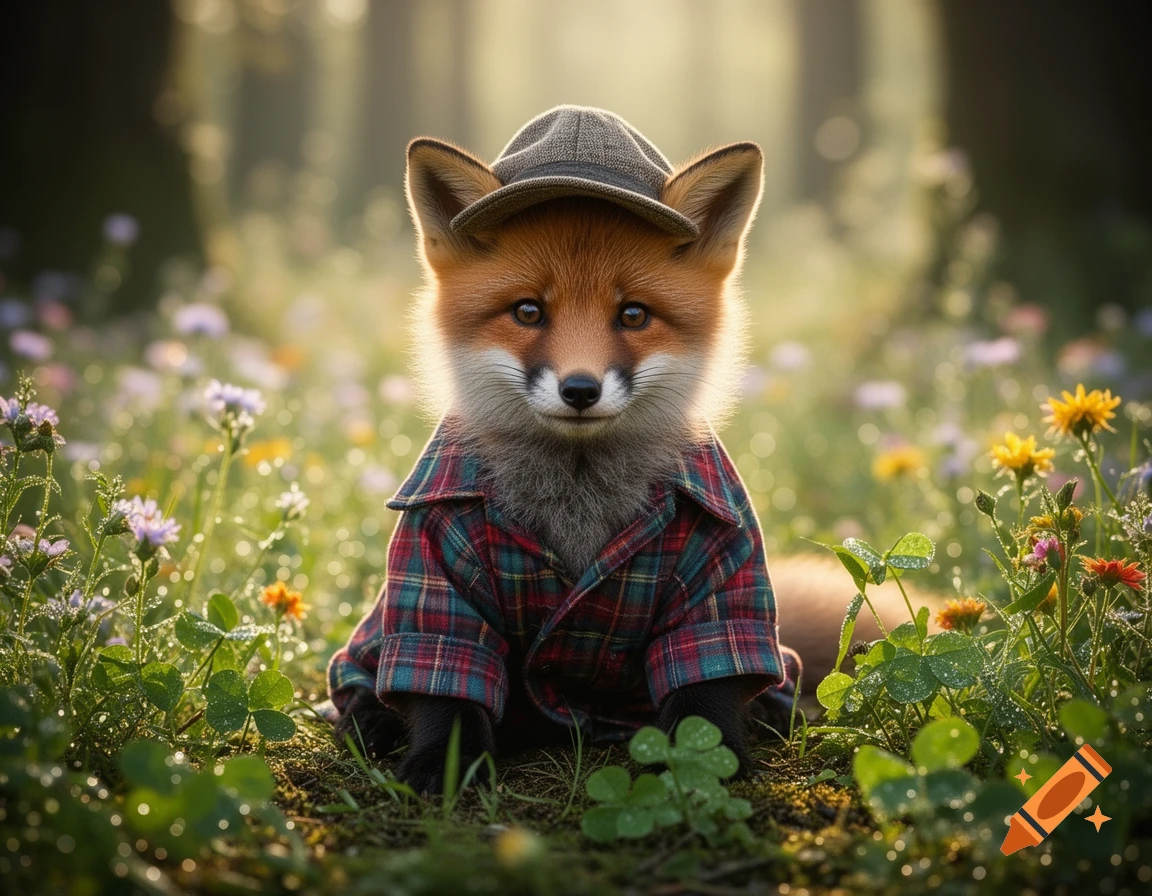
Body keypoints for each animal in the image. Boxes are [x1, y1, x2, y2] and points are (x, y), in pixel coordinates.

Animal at [329, 107, 936, 794]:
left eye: (634, 315)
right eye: (528, 311)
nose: (580, 389)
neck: (578, 501)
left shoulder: (720, 578)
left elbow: (707, 692)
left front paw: (706, 770)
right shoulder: (433, 572)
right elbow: (444, 683)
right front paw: (441, 764)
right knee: (365, 685)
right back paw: (371, 720)